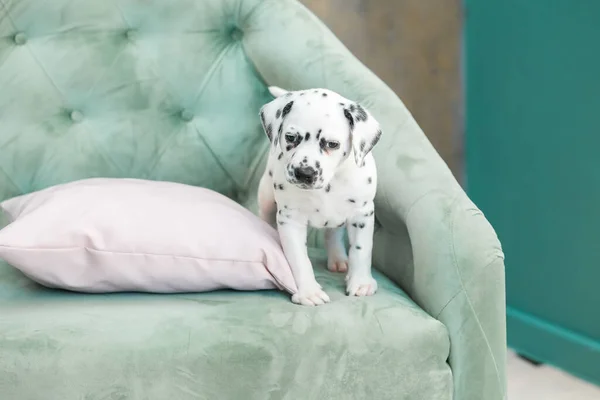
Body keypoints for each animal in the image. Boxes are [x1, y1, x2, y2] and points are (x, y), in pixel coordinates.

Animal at [256, 85, 380, 306]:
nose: (304, 173)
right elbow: (299, 259)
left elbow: (361, 250)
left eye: (332, 144)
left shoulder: (362, 214)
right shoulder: (290, 219)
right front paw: (308, 291)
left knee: (334, 233)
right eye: (290, 137)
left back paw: (338, 258)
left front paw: (361, 283)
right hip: (266, 197)